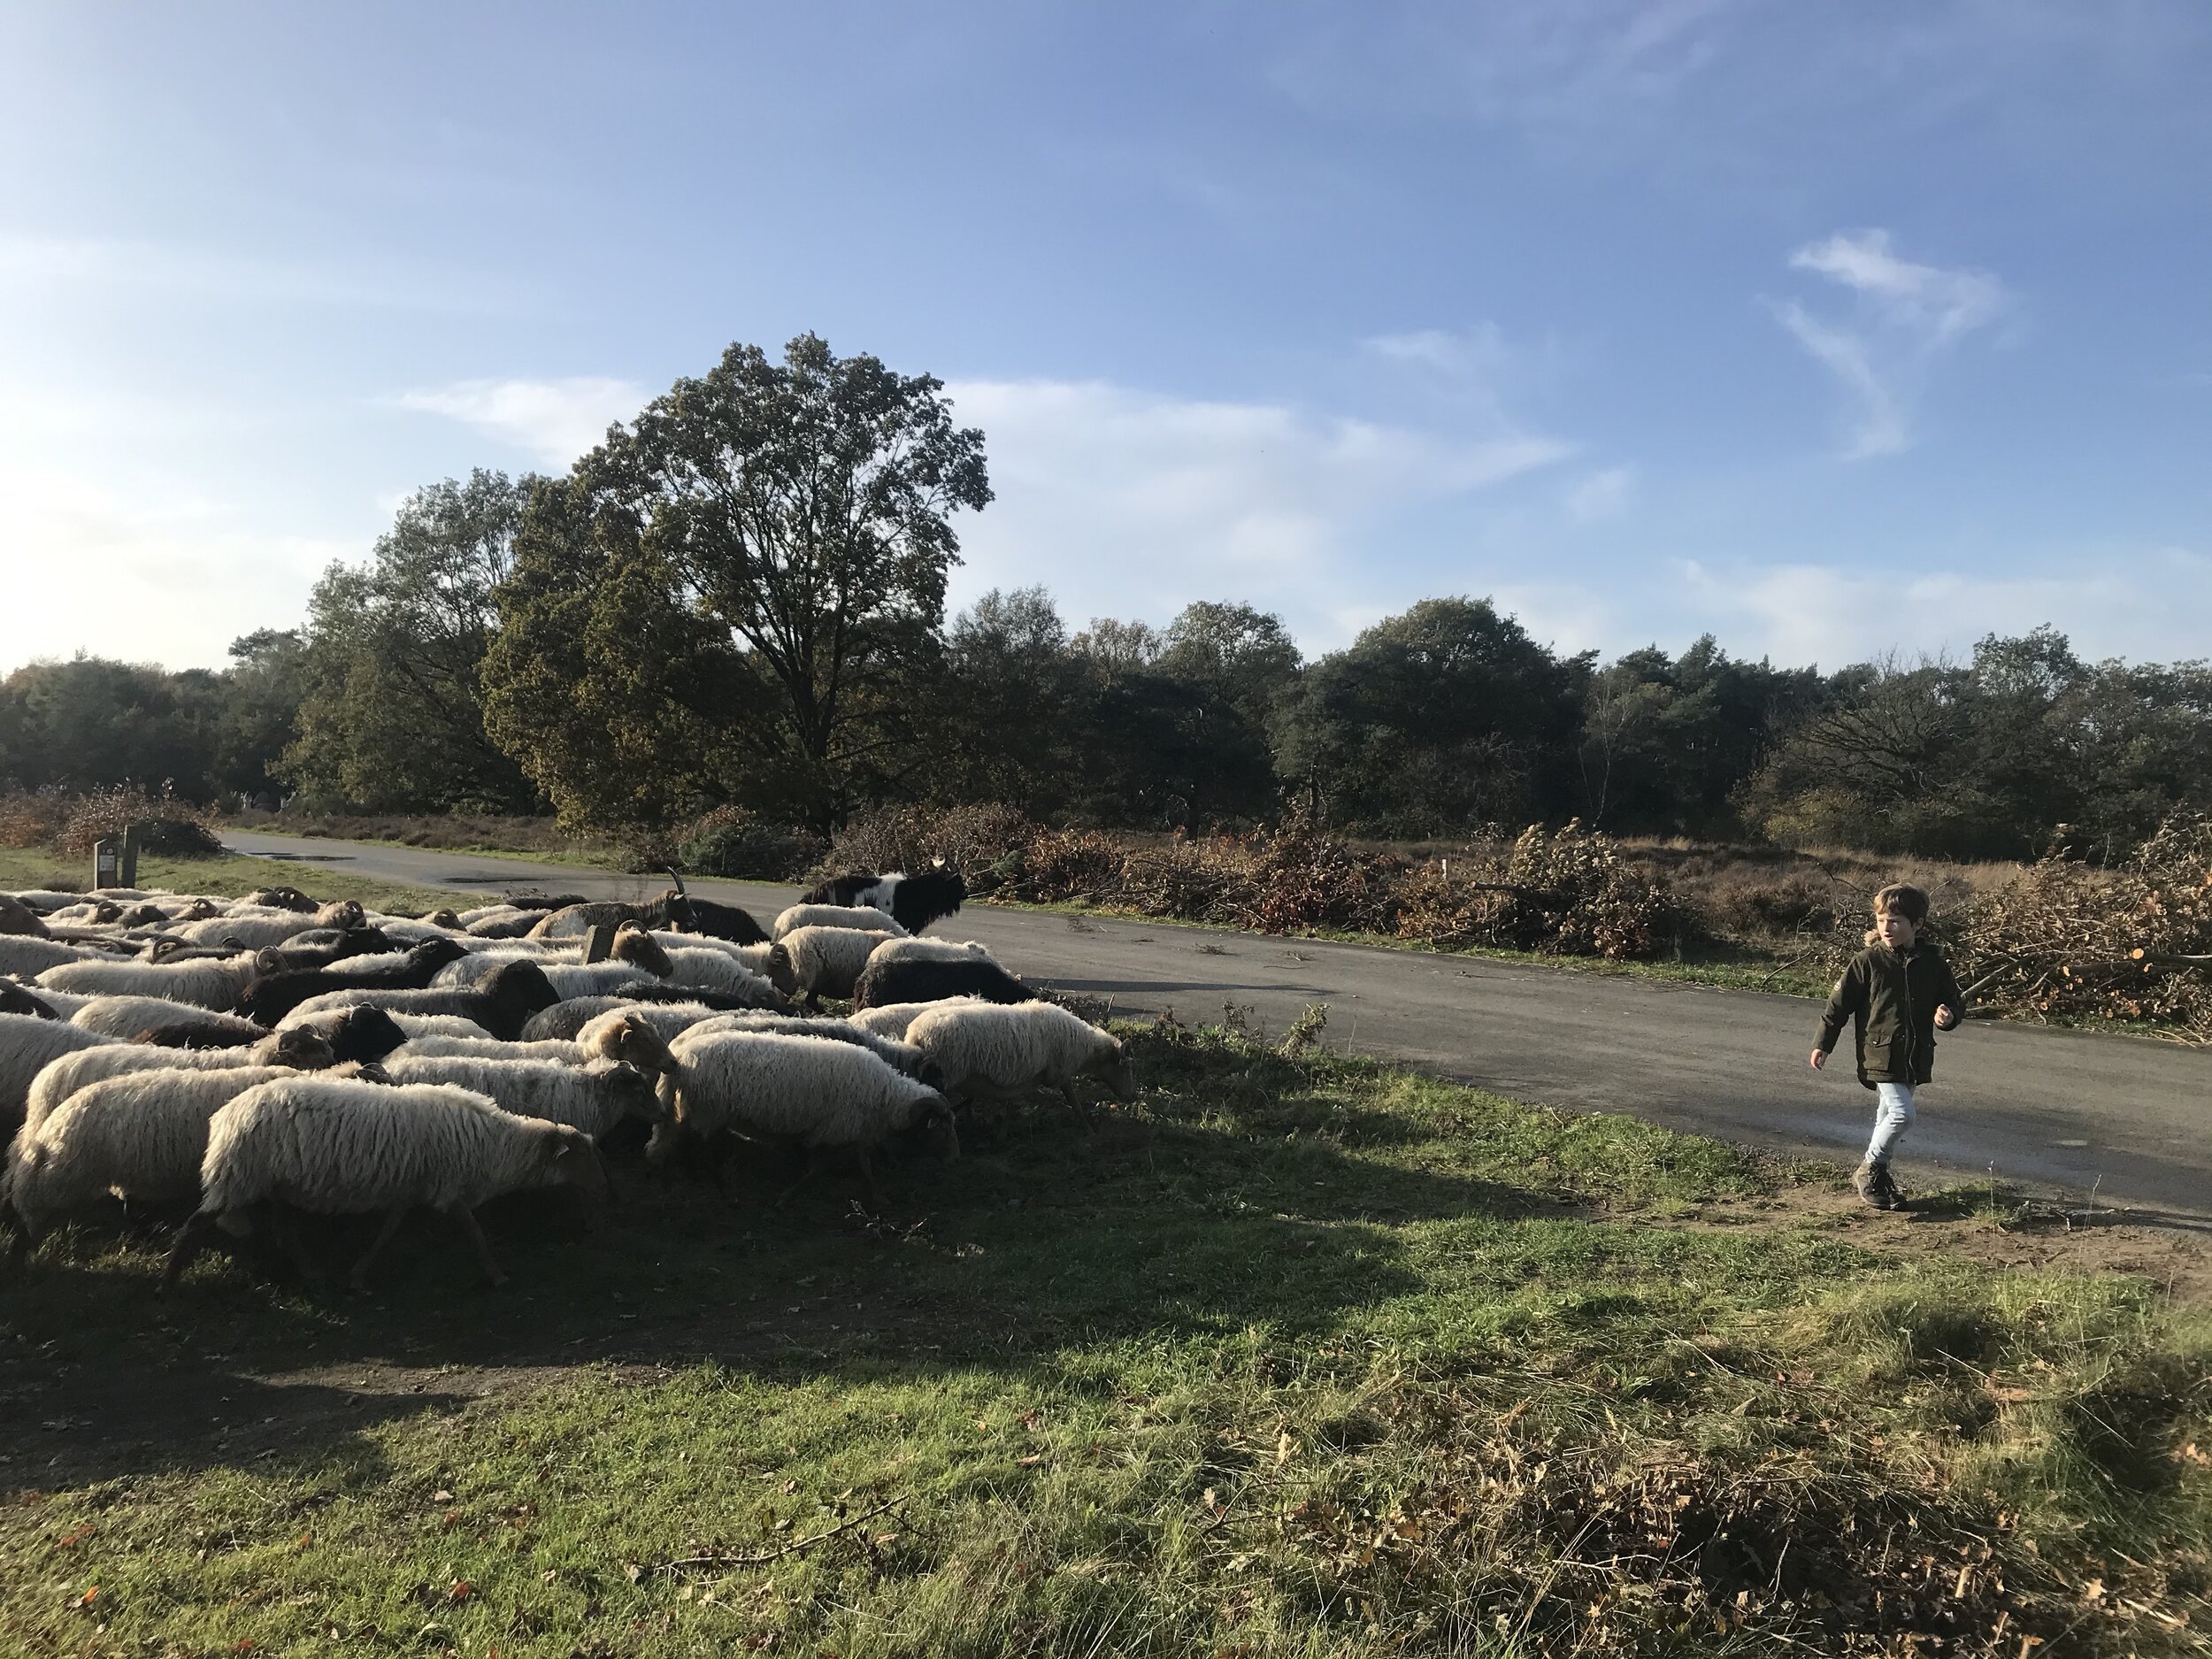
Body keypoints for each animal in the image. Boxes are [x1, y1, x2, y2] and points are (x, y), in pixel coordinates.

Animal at [173, 1079, 611, 1301]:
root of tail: (226, 1114)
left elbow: (387, 1233)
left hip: (270, 1182)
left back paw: (312, 1272)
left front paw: (357, 1276)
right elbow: (473, 1231)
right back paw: (169, 1281)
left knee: (283, 1228)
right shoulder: (448, 1188)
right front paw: (497, 1275)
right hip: (239, 1174)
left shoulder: (410, 1190)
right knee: (196, 1222)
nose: (606, 1187)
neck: (496, 1145)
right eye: (581, 1155)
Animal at [902, 1009, 1133, 1110]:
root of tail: (916, 1033)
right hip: (947, 1072)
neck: (1087, 1049)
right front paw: (1089, 1130)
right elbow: (1074, 1102)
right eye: (1125, 1068)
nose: (1132, 1097)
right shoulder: (1060, 1071)